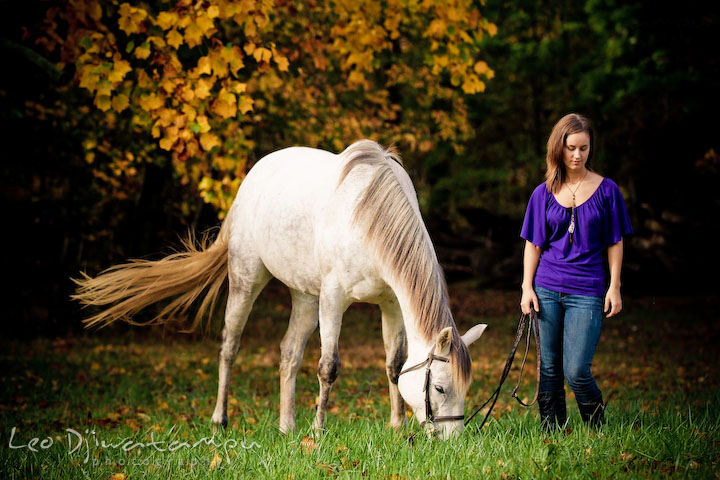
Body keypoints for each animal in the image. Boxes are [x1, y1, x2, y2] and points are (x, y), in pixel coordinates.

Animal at [74, 139, 484, 438]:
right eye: (441, 388)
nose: (451, 441)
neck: (368, 218)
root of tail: (252, 179)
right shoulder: (333, 299)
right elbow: (328, 367)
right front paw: (318, 431)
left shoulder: (390, 304)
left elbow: (394, 365)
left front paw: (395, 427)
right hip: (246, 280)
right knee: (230, 345)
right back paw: (220, 420)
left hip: (304, 296)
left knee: (289, 353)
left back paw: (287, 427)